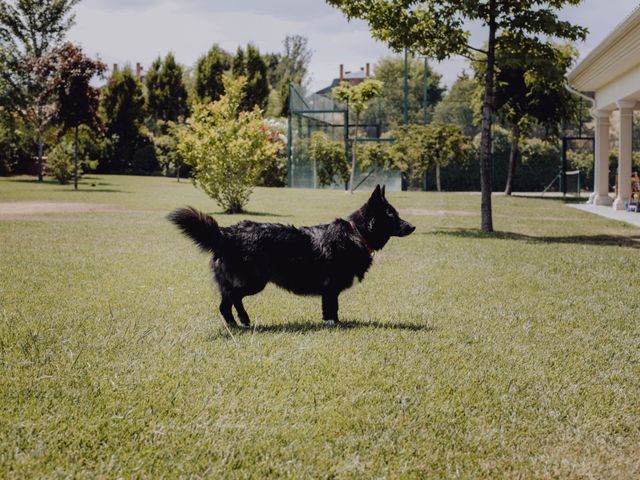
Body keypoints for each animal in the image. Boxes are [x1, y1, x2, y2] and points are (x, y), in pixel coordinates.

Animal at [169, 186, 416, 328]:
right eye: (392, 216)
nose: (413, 226)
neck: (356, 234)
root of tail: (226, 233)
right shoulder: (330, 287)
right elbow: (331, 308)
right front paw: (332, 325)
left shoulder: (331, 289)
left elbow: (333, 308)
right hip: (253, 282)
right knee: (227, 302)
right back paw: (237, 325)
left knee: (230, 301)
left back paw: (244, 322)